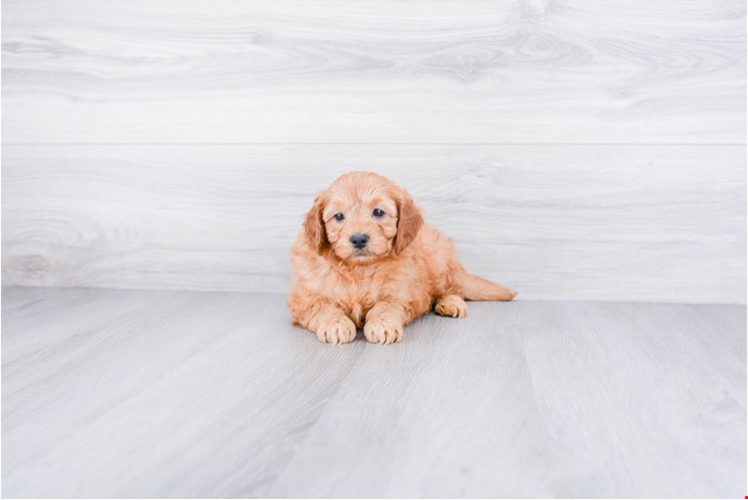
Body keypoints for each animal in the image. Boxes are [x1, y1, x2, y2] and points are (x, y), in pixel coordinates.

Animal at [290, 172, 516, 344]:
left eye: (378, 212)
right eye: (338, 216)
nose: (359, 239)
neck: (360, 268)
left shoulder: (401, 293)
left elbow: (386, 306)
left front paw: (382, 325)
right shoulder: (303, 297)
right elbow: (322, 305)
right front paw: (335, 325)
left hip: (438, 260)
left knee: (452, 288)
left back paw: (451, 303)